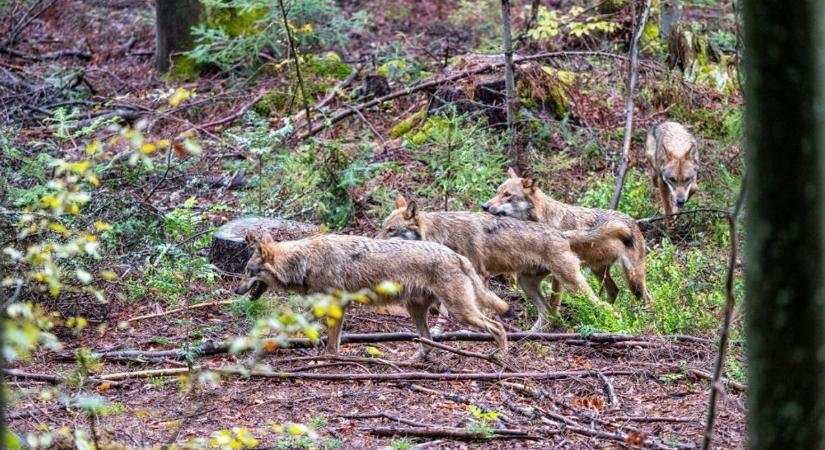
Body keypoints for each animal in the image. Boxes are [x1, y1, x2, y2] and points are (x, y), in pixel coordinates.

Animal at [232, 232, 512, 356]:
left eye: (247, 272)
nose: (236, 289)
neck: (305, 262)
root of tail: (457, 255)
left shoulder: (333, 306)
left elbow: (324, 340)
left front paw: (327, 360)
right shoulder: (330, 307)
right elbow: (313, 332)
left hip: (460, 312)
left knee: (497, 326)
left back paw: (500, 356)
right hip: (417, 311)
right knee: (427, 340)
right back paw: (413, 361)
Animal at [380, 195, 632, 328]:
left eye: (390, 230)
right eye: (383, 228)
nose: (375, 242)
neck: (441, 233)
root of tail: (561, 233)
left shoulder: (477, 277)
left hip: (572, 284)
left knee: (605, 306)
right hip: (526, 283)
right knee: (547, 313)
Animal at [482, 167, 652, 304]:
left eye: (507, 195)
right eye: (497, 192)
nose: (484, 206)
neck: (545, 219)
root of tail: (632, 220)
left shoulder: (557, 276)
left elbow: (554, 300)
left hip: (633, 278)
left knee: (647, 297)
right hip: (599, 271)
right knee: (614, 291)